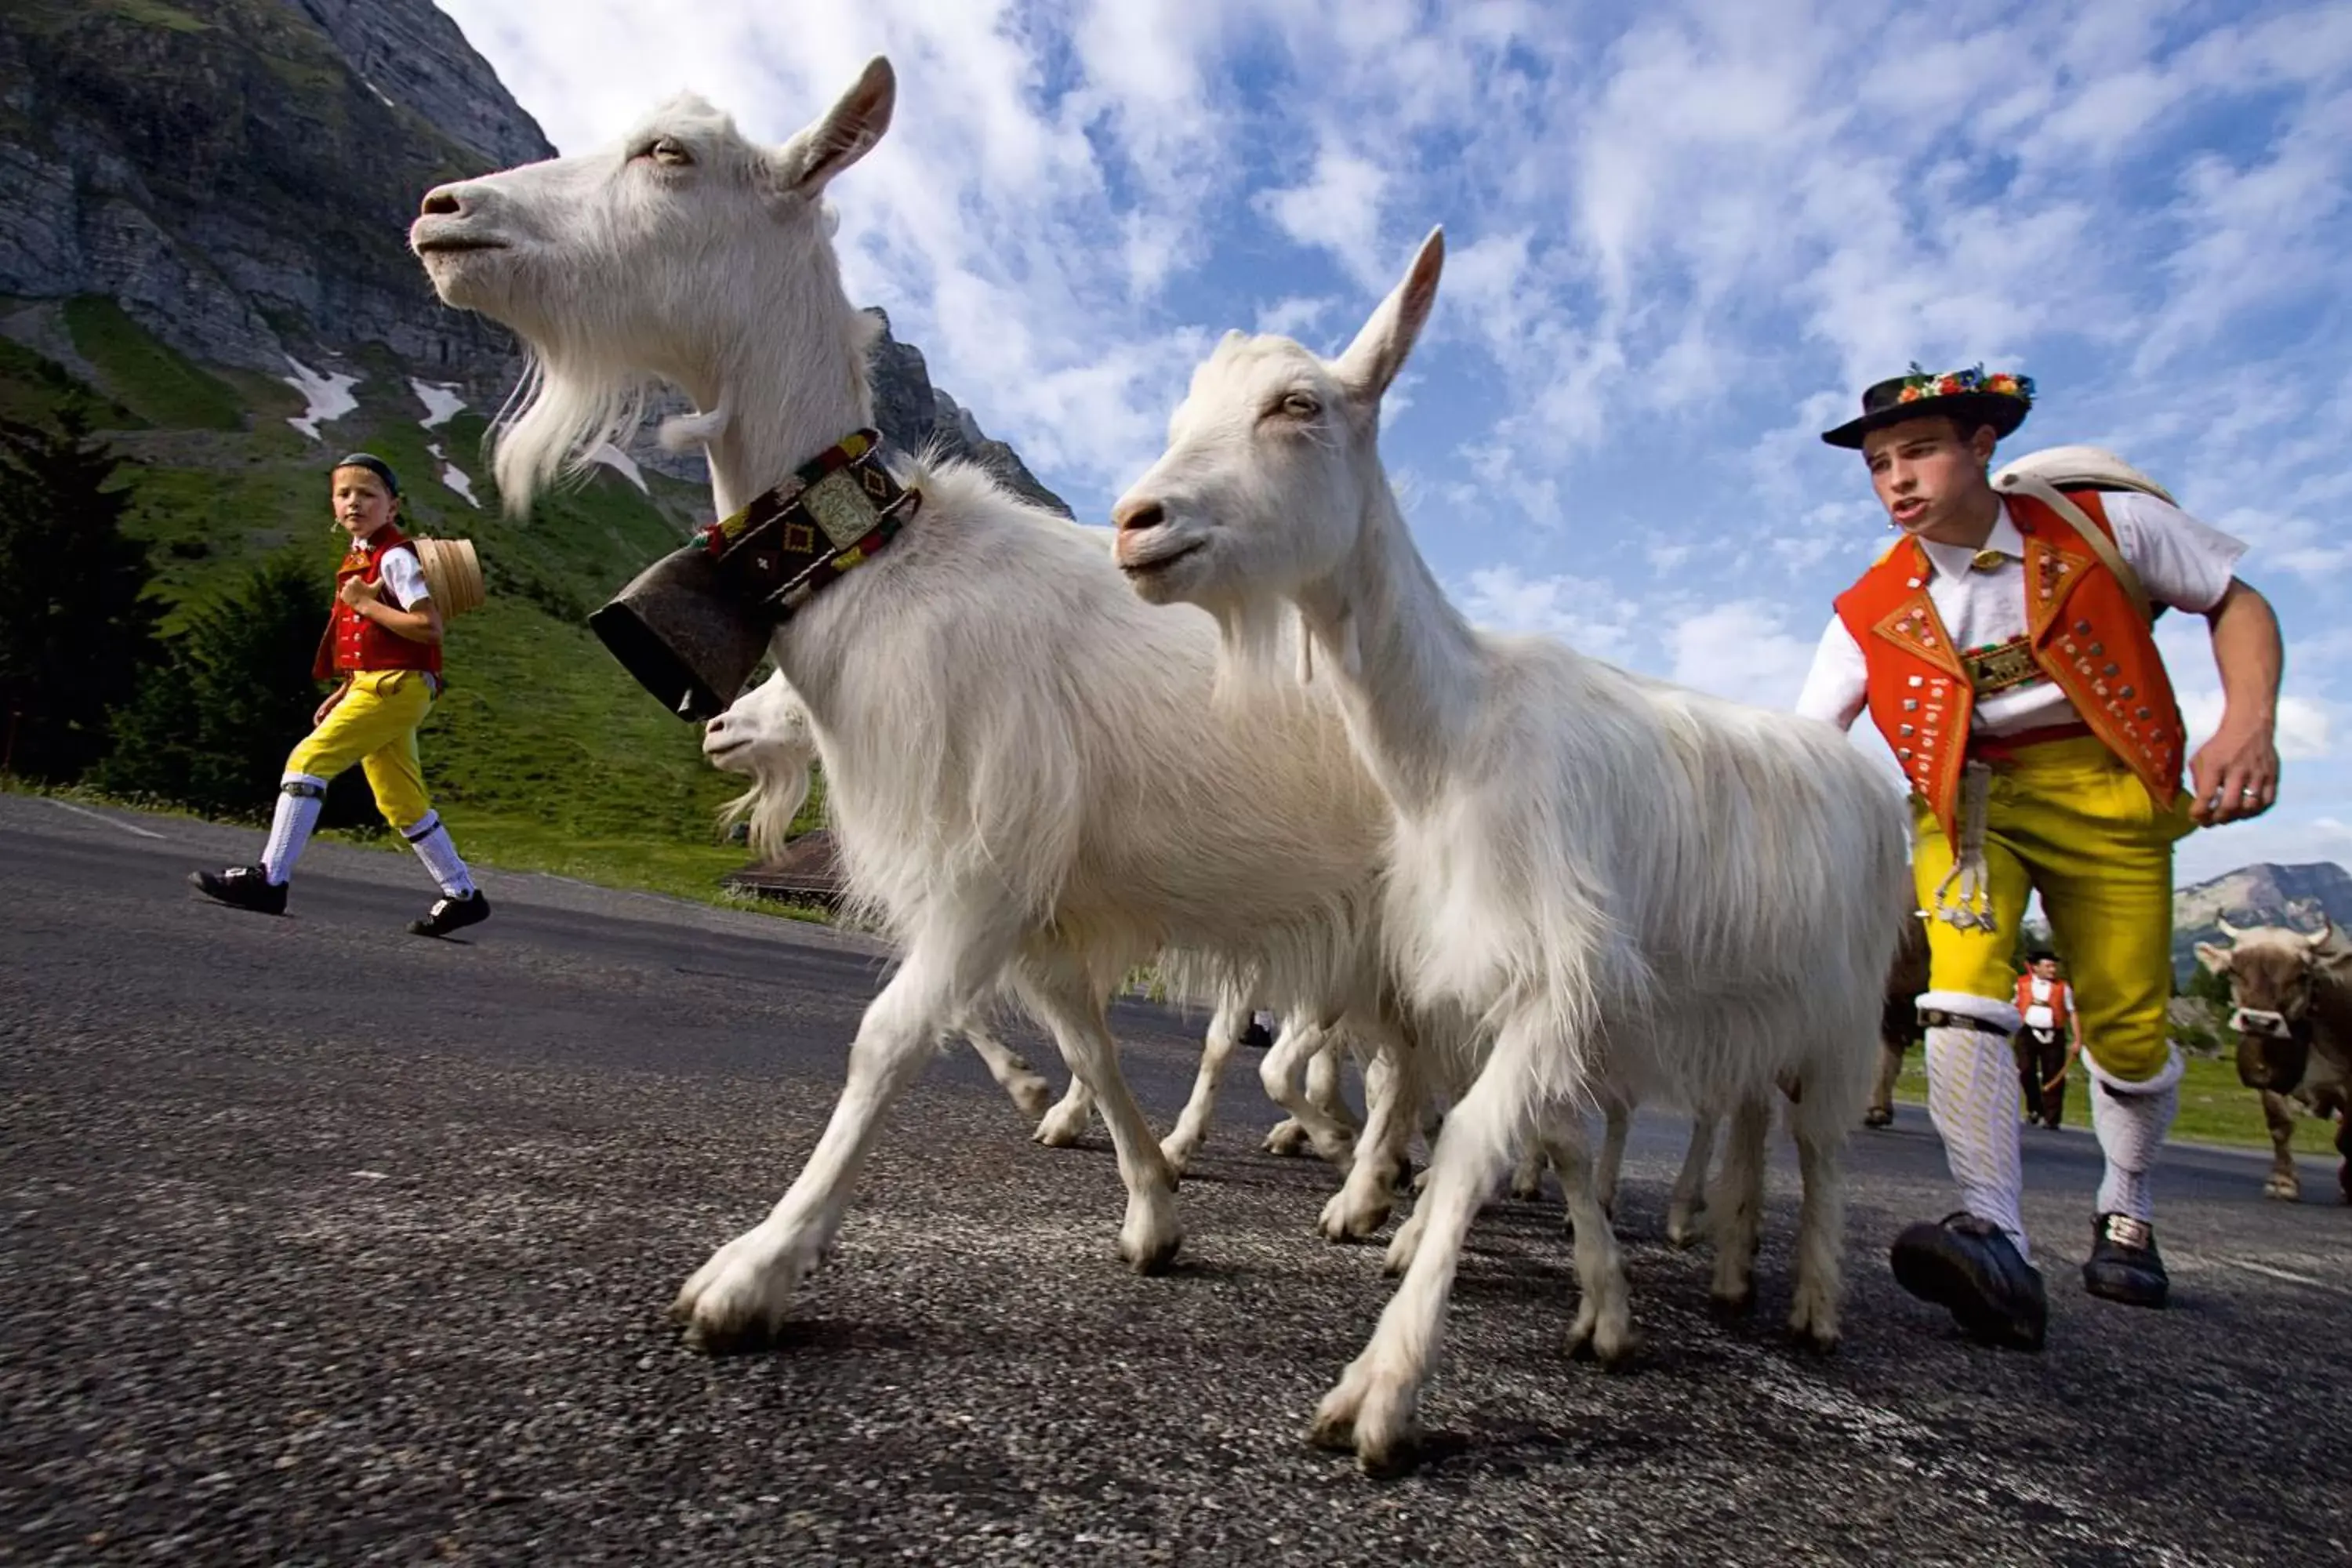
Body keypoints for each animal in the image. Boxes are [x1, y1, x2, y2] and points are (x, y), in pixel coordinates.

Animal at [414, 67, 1421, 1354]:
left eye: (669, 153)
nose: (444, 210)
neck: (880, 566)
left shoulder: (982, 866)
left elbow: (887, 1038)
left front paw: (757, 1267)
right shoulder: (1038, 897)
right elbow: (1085, 1038)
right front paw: (1153, 1208)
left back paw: (1387, 1193)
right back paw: (1375, 1183)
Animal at [1105, 230, 1910, 1476]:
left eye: (1299, 405)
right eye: (1187, 407)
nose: (1137, 521)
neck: (1456, 737)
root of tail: (1862, 772)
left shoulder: (1558, 970)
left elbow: (1484, 1140)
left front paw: (1383, 1384)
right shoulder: (1487, 978)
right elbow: (1541, 1132)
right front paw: (1592, 1302)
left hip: (1840, 1006)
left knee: (1820, 1143)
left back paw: (1814, 1302)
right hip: (1749, 1002)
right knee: (1750, 1122)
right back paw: (1730, 1263)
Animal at [2183, 912, 2352, 1213]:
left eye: (2301, 975)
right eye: (2234, 970)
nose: (2260, 1022)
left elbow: (2344, 1139)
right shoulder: (2270, 1078)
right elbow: (2280, 1126)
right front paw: (2282, 1183)